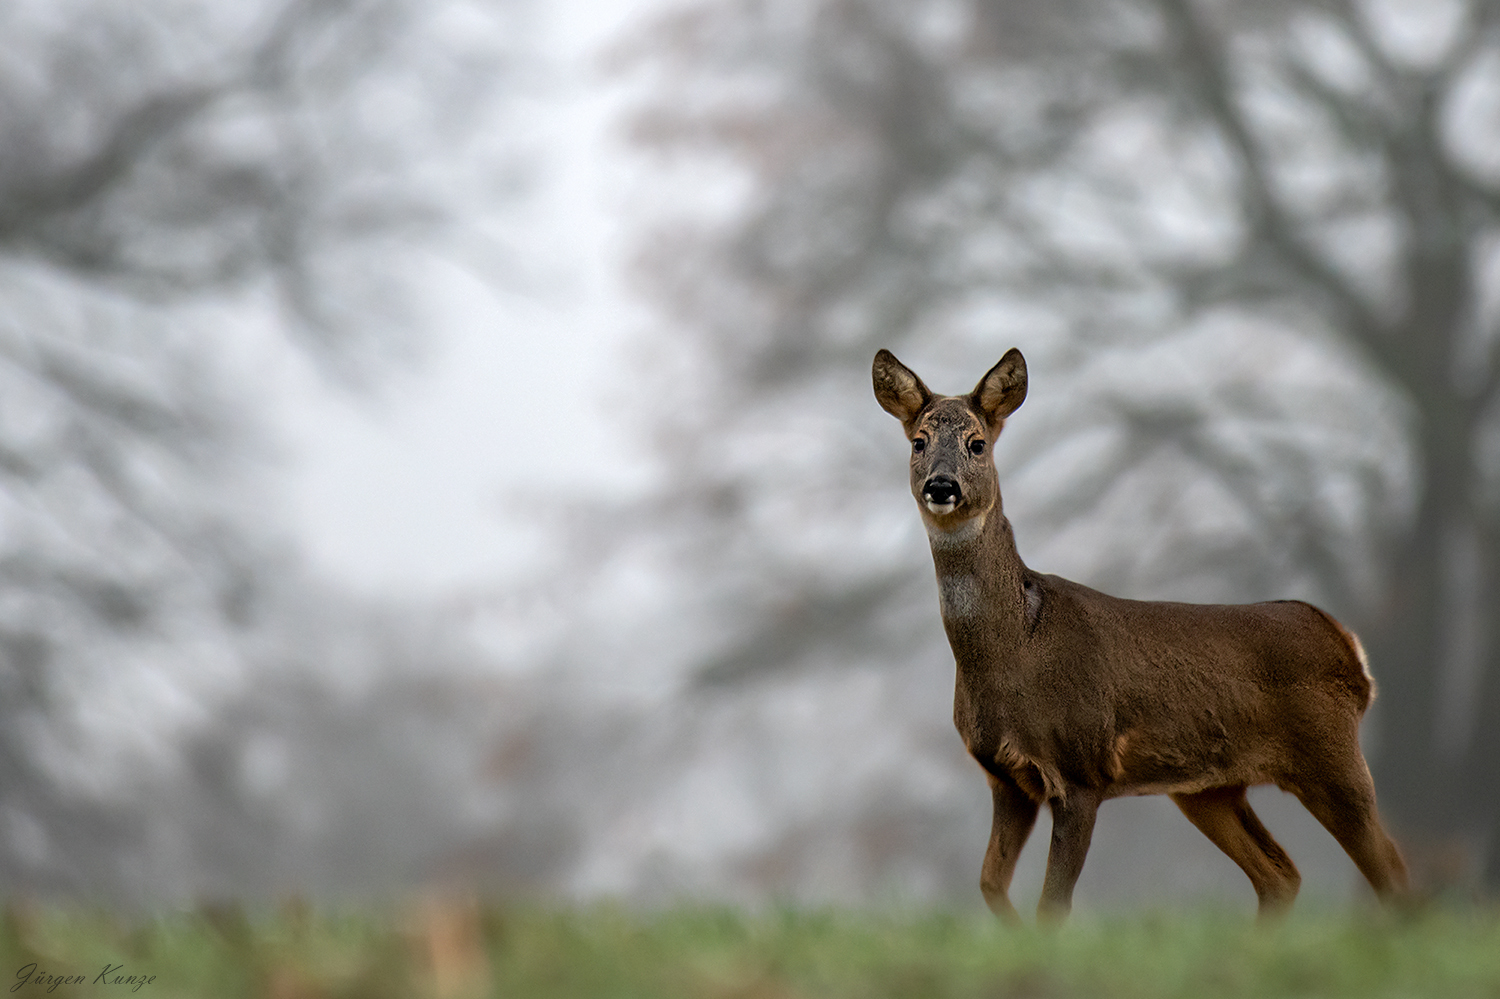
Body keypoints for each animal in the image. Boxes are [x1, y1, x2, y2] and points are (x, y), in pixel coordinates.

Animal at [870, 346, 1404, 924]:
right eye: (919, 441)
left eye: (977, 442)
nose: (941, 486)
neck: (1016, 649)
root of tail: (1348, 648)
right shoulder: (1006, 778)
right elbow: (991, 884)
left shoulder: (1081, 768)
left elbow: (1053, 904)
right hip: (1209, 788)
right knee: (1281, 874)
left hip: (1331, 756)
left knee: (1392, 872)